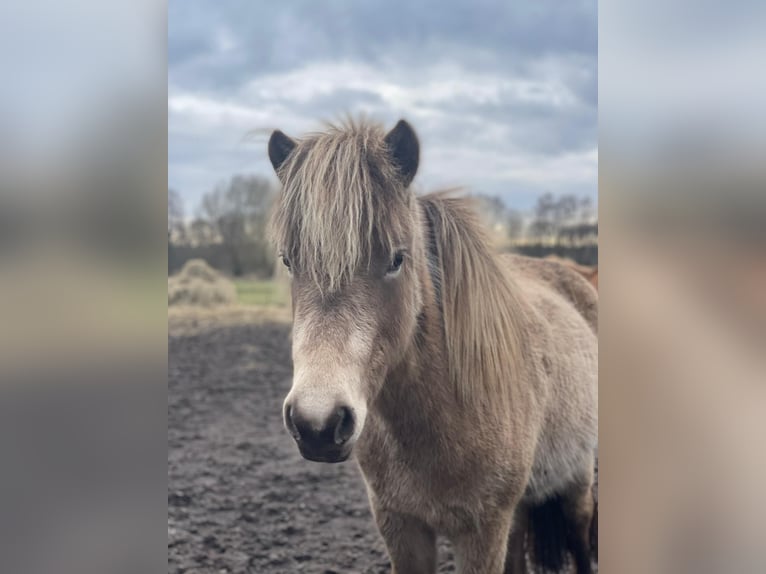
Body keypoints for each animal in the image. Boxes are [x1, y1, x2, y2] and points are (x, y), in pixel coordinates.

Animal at [266, 117, 598, 573]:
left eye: (396, 259)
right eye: (288, 261)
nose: (317, 424)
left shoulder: (481, 532)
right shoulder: (401, 526)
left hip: (577, 482)